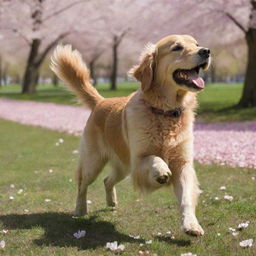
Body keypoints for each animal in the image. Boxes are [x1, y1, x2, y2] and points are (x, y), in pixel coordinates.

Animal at [50, 34, 210, 236]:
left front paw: (191, 225)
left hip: (122, 167)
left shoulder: (183, 164)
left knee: (107, 181)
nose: (206, 51)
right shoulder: (138, 161)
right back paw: (80, 210)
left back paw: (111, 202)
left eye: (196, 44)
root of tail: (101, 102)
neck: (164, 112)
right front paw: (162, 171)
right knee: (82, 184)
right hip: (93, 163)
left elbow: (186, 198)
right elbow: (154, 158)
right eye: (177, 47)